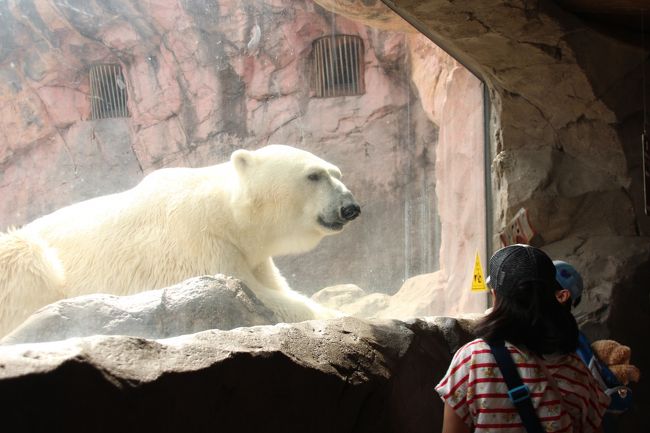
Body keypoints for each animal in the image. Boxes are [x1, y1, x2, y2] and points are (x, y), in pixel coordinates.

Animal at [0, 145, 360, 334]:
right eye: (313, 175)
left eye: (337, 173)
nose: (350, 207)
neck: (226, 215)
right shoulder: (196, 243)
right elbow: (255, 296)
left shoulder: (251, 254)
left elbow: (276, 288)